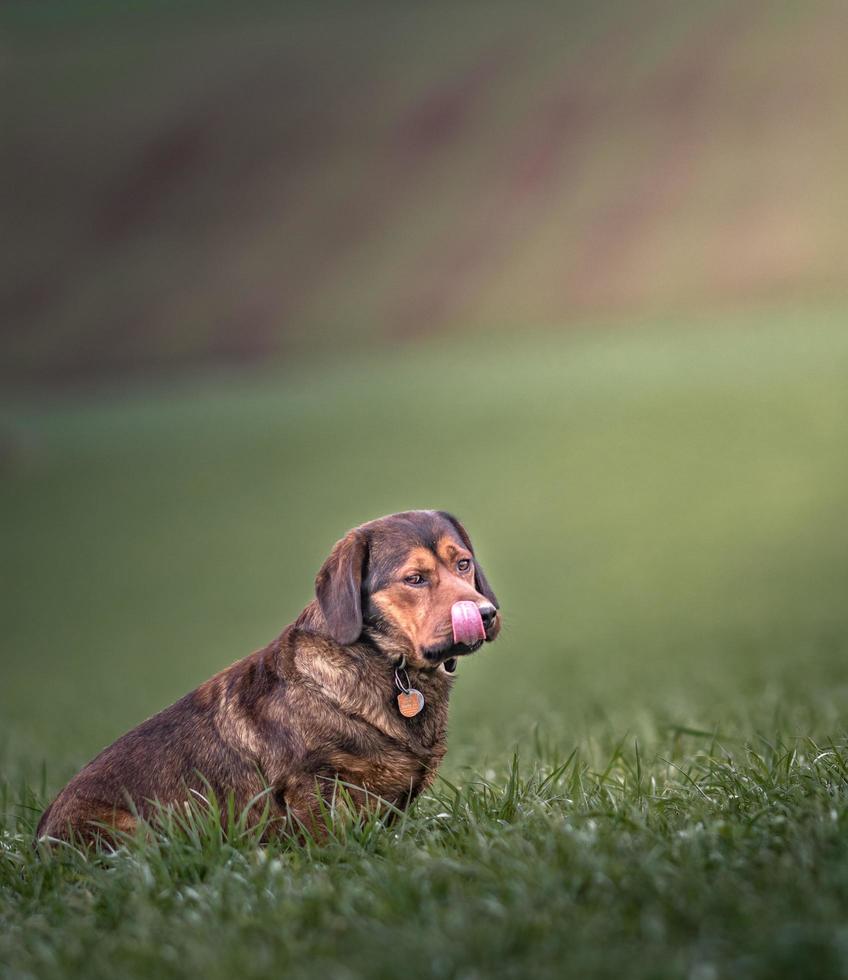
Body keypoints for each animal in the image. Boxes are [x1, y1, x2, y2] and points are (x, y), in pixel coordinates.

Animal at [38, 512, 496, 844]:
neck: (386, 667)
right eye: (414, 579)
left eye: (463, 563)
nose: (486, 614)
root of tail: (40, 845)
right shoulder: (310, 785)